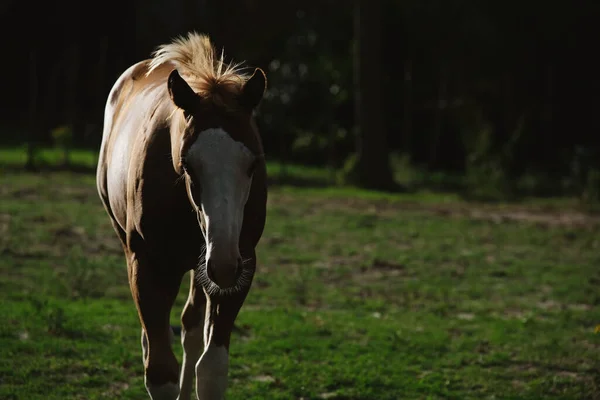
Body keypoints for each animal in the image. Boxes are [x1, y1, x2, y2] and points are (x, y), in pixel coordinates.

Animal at [95, 32, 268, 400]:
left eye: (252, 165)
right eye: (188, 165)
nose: (225, 263)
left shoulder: (239, 265)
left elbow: (211, 369)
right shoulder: (147, 265)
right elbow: (160, 371)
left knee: (190, 328)